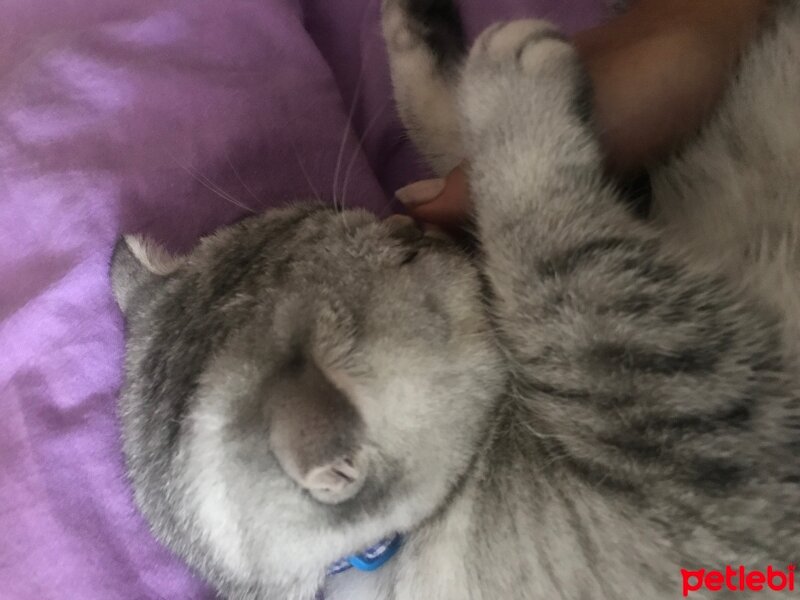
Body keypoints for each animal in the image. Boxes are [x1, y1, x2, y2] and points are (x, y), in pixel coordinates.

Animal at [111, 1, 800, 600]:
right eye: (407, 260)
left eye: (370, 216)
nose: (413, 229)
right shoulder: (702, 414)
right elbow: (546, 251)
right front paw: (506, 96)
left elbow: (457, 156)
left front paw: (422, 37)